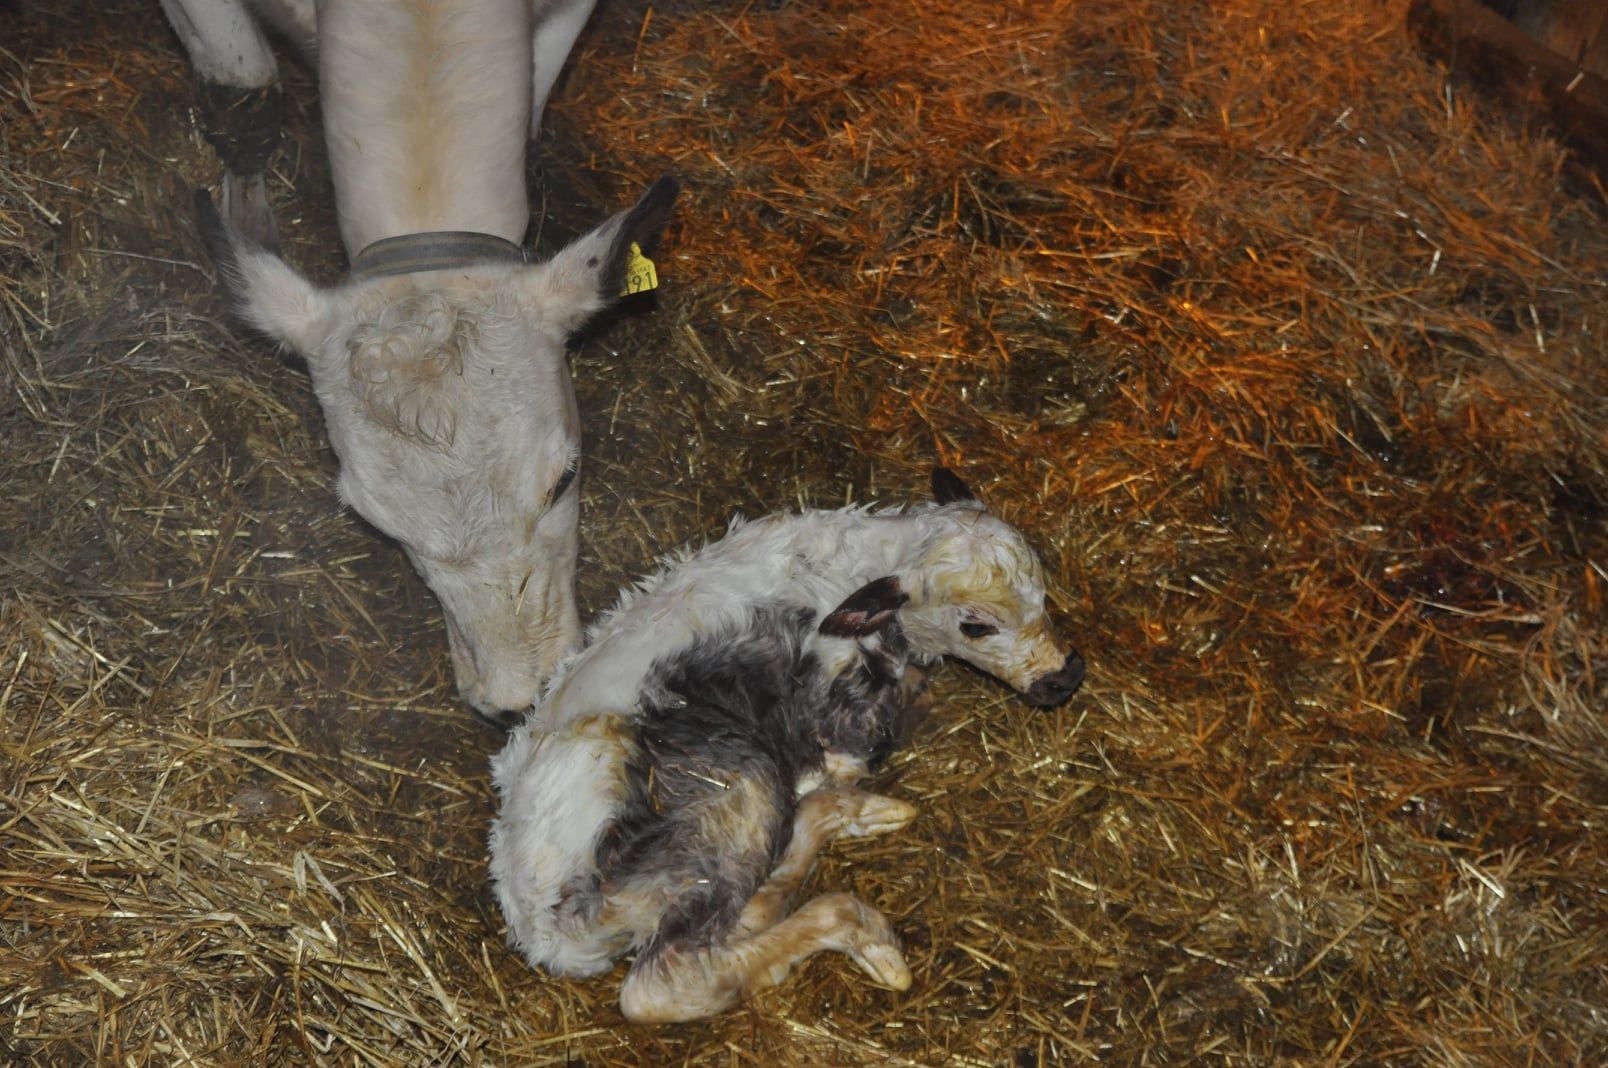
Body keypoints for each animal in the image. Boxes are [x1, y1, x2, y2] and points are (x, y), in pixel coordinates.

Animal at [488, 469, 1086, 1021]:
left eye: (1042, 592)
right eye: (975, 625)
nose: (1065, 677)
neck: (853, 564)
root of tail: (541, 928)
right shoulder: (839, 709)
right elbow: (861, 743)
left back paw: (861, 818)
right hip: (732, 796)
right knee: (665, 983)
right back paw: (860, 927)